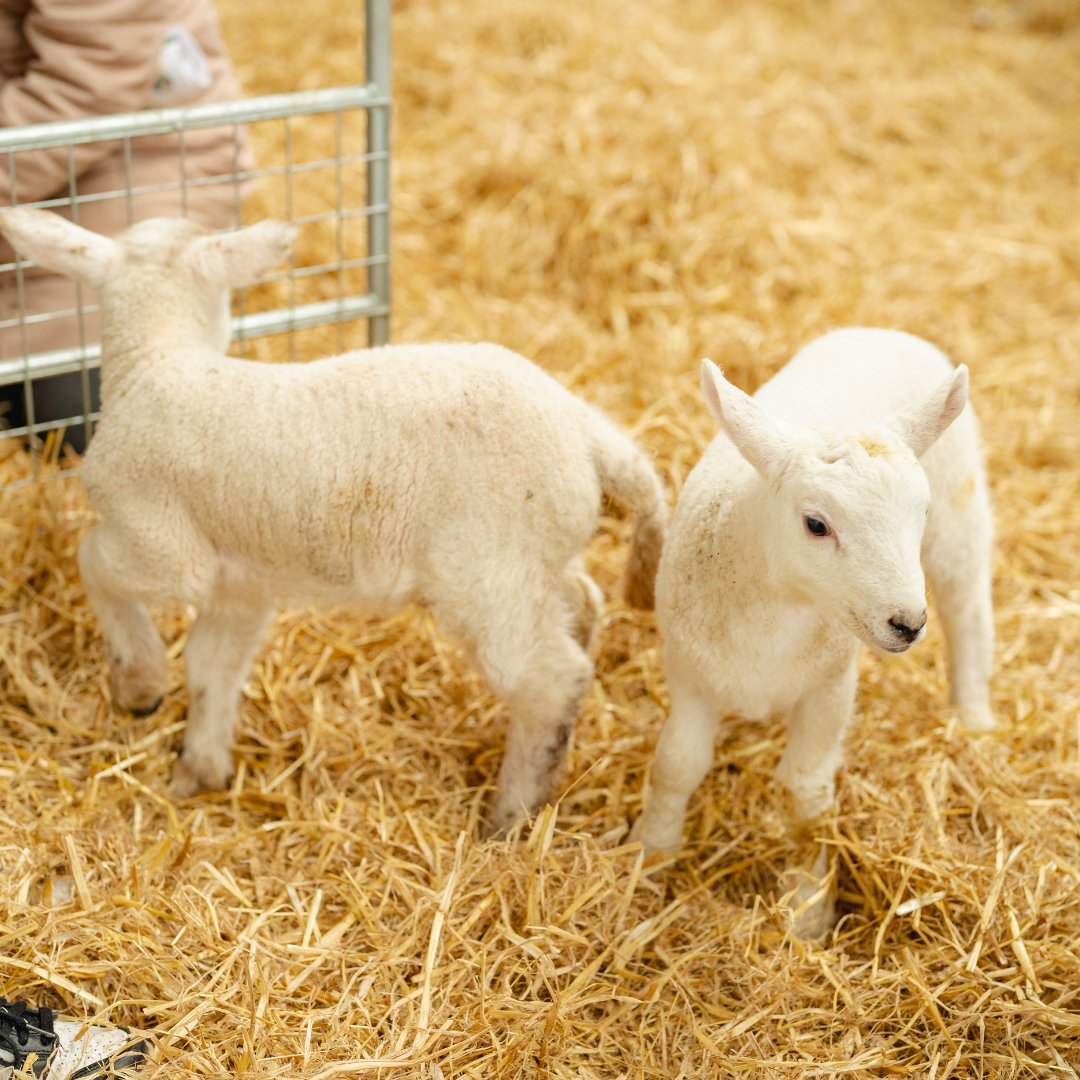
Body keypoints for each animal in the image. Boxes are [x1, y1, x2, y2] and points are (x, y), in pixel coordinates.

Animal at [2, 210, 665, 833]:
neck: (156, 363)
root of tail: (588, 437)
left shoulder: (162, 545)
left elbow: (91, 561)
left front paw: (139, 684)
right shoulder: (240, 584)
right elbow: (213, 665)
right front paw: (201, 768)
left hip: (487, 573)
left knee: (549, 678)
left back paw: (511, 815)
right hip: (535, 558)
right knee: (582, 605)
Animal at [630, 328, 993, 937]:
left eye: (918, 512)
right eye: (816, 524)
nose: (907, 624)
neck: (780, 610)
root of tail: (881, 330)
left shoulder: (831, 685)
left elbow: (804, 789)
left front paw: (806, 905)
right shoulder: (690, 674)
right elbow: (676, 765)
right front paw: (651, 854)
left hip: (959, 518)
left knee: (967, 609)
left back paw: (974, 717)